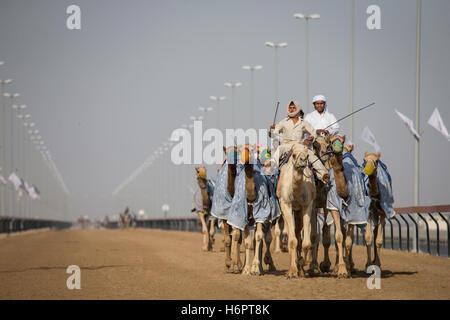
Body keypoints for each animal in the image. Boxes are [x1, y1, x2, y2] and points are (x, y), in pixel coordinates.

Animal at [274, 142, 316, 278]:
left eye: (307, 155)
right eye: (293, 155)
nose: (302, 160)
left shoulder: (307, 205)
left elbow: (306, 243)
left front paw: (302, 263)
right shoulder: (286, 204)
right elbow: (292, 241)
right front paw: (292, 271)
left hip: (298, 212)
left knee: (298, 233)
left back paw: (301, 269)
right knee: (292, 234)